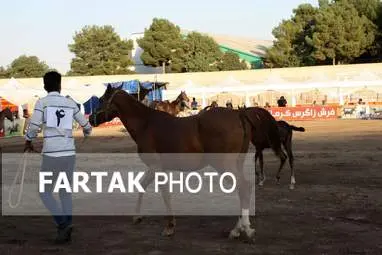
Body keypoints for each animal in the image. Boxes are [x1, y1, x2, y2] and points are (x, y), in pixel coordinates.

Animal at [89, 85, 278, 241]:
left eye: (101, 99)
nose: (91, 119)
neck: (146, 124)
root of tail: (238, 114)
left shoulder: (157, 167)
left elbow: (165, 194)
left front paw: (169, 227)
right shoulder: (156, 168)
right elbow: (142, 185)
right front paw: (137, 217)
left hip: (225, 165)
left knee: (244, 188)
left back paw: (245, 230)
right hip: (236, 164)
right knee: (241, 190)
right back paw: (237, 230)